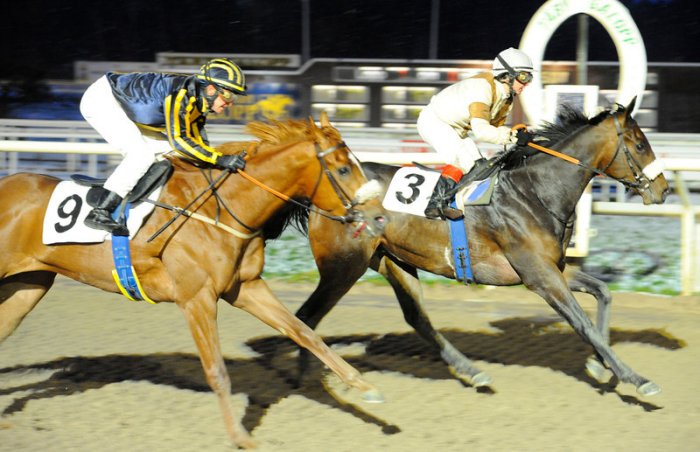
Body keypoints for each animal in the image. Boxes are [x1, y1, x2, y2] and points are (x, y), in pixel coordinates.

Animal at [0, 113, 382, 448]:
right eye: (343, 168)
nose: (379, 217)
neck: (224, 209)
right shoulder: (197, 298)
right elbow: (216, 370)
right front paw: (241, 437)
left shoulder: (246, 288)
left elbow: (304, 332)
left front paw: (363, 386)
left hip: (30, 285)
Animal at [292, 100, 668, 398]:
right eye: (639, 144)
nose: (663, 190)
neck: (535, 191)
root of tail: (316, 190)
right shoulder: (540, 277)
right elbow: (584, 324)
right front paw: (635, 378)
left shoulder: (554, 268)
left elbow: (604, 293)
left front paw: (599, 365)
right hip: (344, 265)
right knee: (307, 316)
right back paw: (305, 378)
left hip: (392, 260)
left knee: (417, 317)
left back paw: (471, 372)